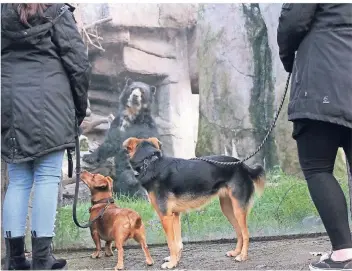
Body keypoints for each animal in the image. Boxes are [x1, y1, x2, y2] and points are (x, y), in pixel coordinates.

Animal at [122, 137, 266, 268]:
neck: (151, 162)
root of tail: (242, 165)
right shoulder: (175, 215)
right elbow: (178, 243)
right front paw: (175, 260)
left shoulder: (165, 217)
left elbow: (171, 243)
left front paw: (172, 263)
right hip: (228, 209)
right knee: (239, 232)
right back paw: (236, 252)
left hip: (238, 209)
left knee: (246, 234)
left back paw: (242, 256)